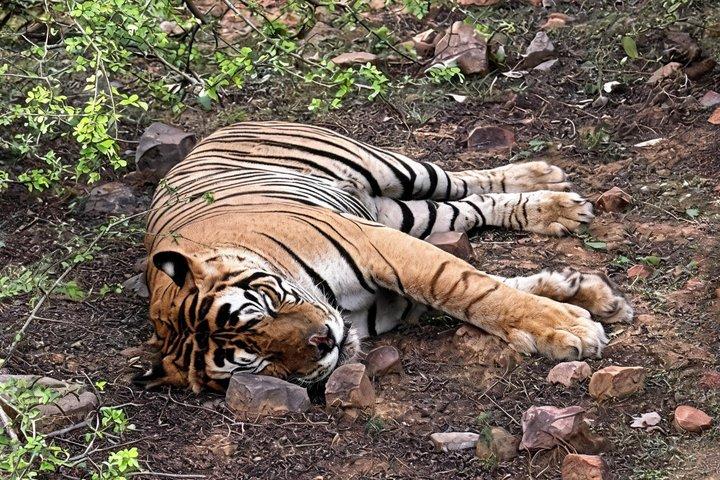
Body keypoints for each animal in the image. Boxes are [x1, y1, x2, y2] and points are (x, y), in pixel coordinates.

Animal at [136, 121, 633, 393]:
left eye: (264, 307)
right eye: (256, 361)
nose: (324, 342)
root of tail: (218, 130)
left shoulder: (377, 244)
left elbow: (466, 287)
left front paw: (567, 326)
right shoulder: (393, 293)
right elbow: (486, 288)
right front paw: (589, 298)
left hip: (388, 168)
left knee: (462, 179)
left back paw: (546, 180)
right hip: (408, 214)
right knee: (470, 206)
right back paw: (554, 207)